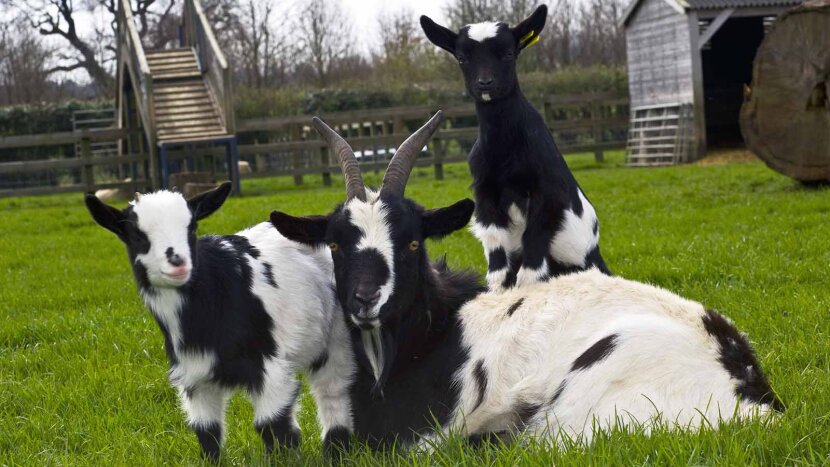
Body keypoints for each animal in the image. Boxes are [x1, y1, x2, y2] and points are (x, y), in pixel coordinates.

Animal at [85, 184, 354, 460]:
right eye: (137, 235)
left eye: (192, 228)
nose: (178, 262)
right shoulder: (194, 375)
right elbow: (207, 432)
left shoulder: (270, 366)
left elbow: (274, 426)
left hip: (337, 338)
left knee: (332, 391)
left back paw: (336, 451)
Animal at [270, 112, 784, 450]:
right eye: (335, 244)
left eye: (413, 242)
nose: (366, 300)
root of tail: (753, 396)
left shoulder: (428, 434)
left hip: (584, 401)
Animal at [422, 6, 612, 292]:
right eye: (462, 58)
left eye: (509, 53)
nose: (485, 83)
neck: (505, 152)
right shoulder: (485, 194)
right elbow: (498, 267)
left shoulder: (548, 194)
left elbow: (532, 265)